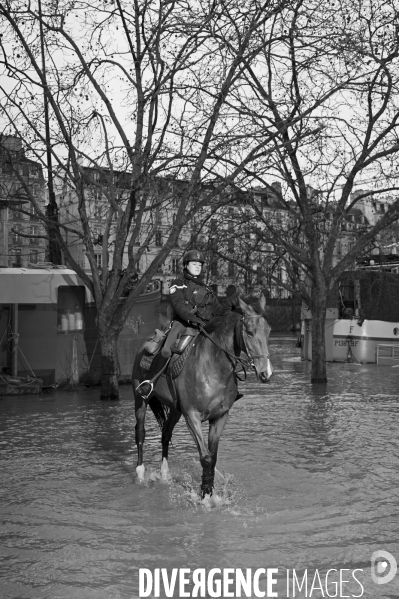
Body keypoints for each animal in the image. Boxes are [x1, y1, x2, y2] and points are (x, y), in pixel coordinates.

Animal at [133, 294, 274, 496]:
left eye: (268, 330)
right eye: (249, 331)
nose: (266, 373)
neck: (213, 366)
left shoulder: (220, 417)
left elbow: (212, 457)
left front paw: (210, 490)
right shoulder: (192, 417)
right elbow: (206, 458)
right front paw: (206, 496)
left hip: (175, 410)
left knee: (165, 434)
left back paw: (165, 474)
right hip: (140, 399)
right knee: (140, 433)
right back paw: (140, 473)